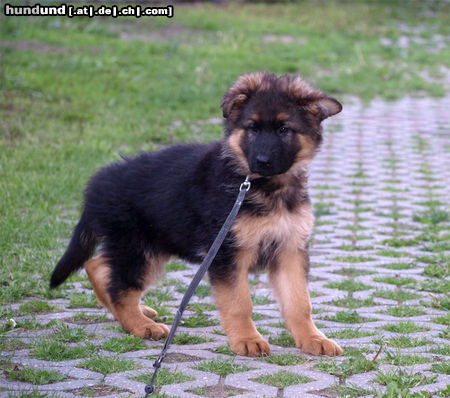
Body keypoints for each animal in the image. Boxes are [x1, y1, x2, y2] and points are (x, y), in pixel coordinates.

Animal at [50, 71, 344, 358]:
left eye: (284, 129)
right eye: (252, 128)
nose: (261, 161)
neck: (263, 186)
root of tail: (98, 184)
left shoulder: (289, 249)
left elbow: (299, 302)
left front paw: (313, 339)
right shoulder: (228, 252)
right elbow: (239, 302)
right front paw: (247, 339)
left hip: (151, 245)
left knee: (98, 265)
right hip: (139, 248)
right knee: (121, 287)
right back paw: (141, 325)